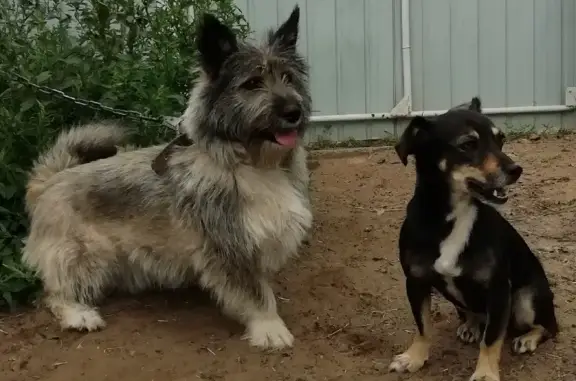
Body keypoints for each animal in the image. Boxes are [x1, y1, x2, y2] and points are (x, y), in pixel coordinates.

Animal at [22, 5, 312, 350]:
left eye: (288, 77)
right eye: (252, 83)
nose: (294, 112)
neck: (248, 162)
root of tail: (50, 181)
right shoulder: (229, 246)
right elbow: (255, 293)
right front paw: (270, 328)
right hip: (83, 255)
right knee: (54, 294)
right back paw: (78, 314)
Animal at [388, 96, 560, 378]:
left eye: (501, 140)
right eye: (467, 145)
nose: (516, 169)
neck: (451, 216)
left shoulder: (499, 290)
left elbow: (491, 340)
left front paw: (485, 374)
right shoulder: (415, 281)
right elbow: (423, 326)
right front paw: (414, 357)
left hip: (526, 299)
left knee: (548, 326)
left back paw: (527, 338)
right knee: (475, 315)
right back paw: (471, 324)